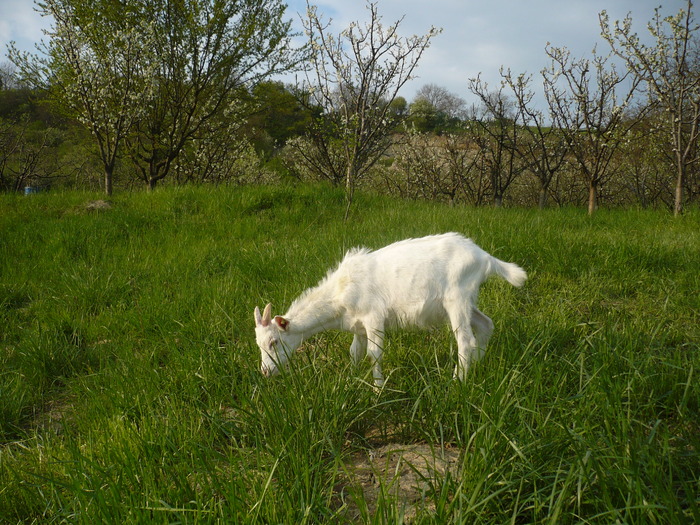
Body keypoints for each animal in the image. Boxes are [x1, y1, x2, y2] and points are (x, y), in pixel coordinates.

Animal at [252, 232, 524, 384]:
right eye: (259, 344)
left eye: (274, 342)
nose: (265, 372)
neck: (341, 291)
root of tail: (485, 257)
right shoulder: (357, 326)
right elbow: (355, 352)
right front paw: (351, 382)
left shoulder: (373, 318)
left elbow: (375, 354)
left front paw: (378, 389)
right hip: (467, 301)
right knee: (486, 324)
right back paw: (478, 364)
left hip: (456, 298)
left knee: (466, 341)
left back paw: (458, 382)